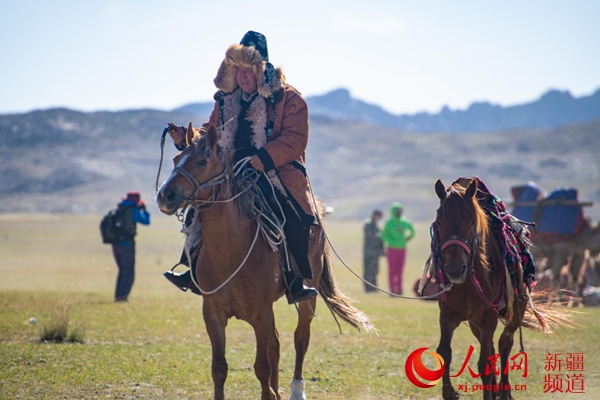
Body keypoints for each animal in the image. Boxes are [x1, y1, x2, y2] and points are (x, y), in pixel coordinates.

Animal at [156, 123, 370, 398]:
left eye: (202, 161)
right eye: (175, 159)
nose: (165, 195)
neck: (229, 253)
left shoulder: (261, 313)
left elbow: (262, 368)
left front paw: (271, 392)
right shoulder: (213, 313)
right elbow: (220, 368)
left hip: (306, 297)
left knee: (300, 339)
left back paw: (295, 389)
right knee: (275, 344)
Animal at [432, 179, 572, 400]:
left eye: (471, 222)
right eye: (439, 222)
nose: (455, 269)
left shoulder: (489, 316)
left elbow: (485, 362)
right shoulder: (448, 315)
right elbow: (444, 352)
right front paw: (449, 392)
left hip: (516, 310)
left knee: (504, 344)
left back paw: (504, 391)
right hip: (475, 322)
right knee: (490, 348)